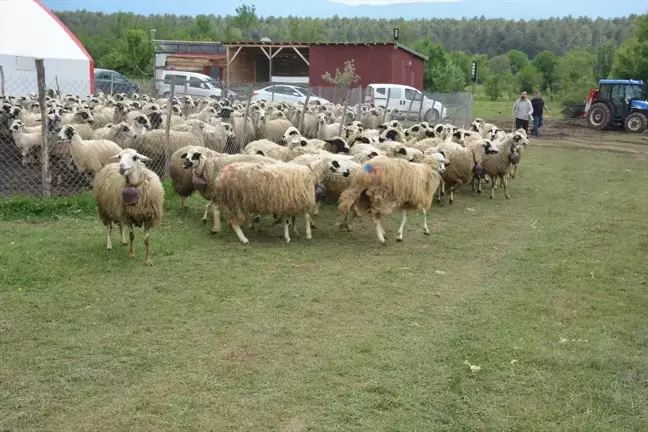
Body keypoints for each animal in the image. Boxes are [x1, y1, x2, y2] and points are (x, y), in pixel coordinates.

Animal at [211, 157, 350, 245]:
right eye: (335, 163)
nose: (348, 172)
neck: (311, 174)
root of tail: (220, 175)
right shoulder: (291, 201)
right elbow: (289, 220)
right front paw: (289, 237)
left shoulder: (291, 202)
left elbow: (300, 217)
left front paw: (302, 233)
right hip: (233, 200)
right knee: (233, 221)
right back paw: (243, 238)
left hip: (226, 199)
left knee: (217, 211)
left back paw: (216, 228)